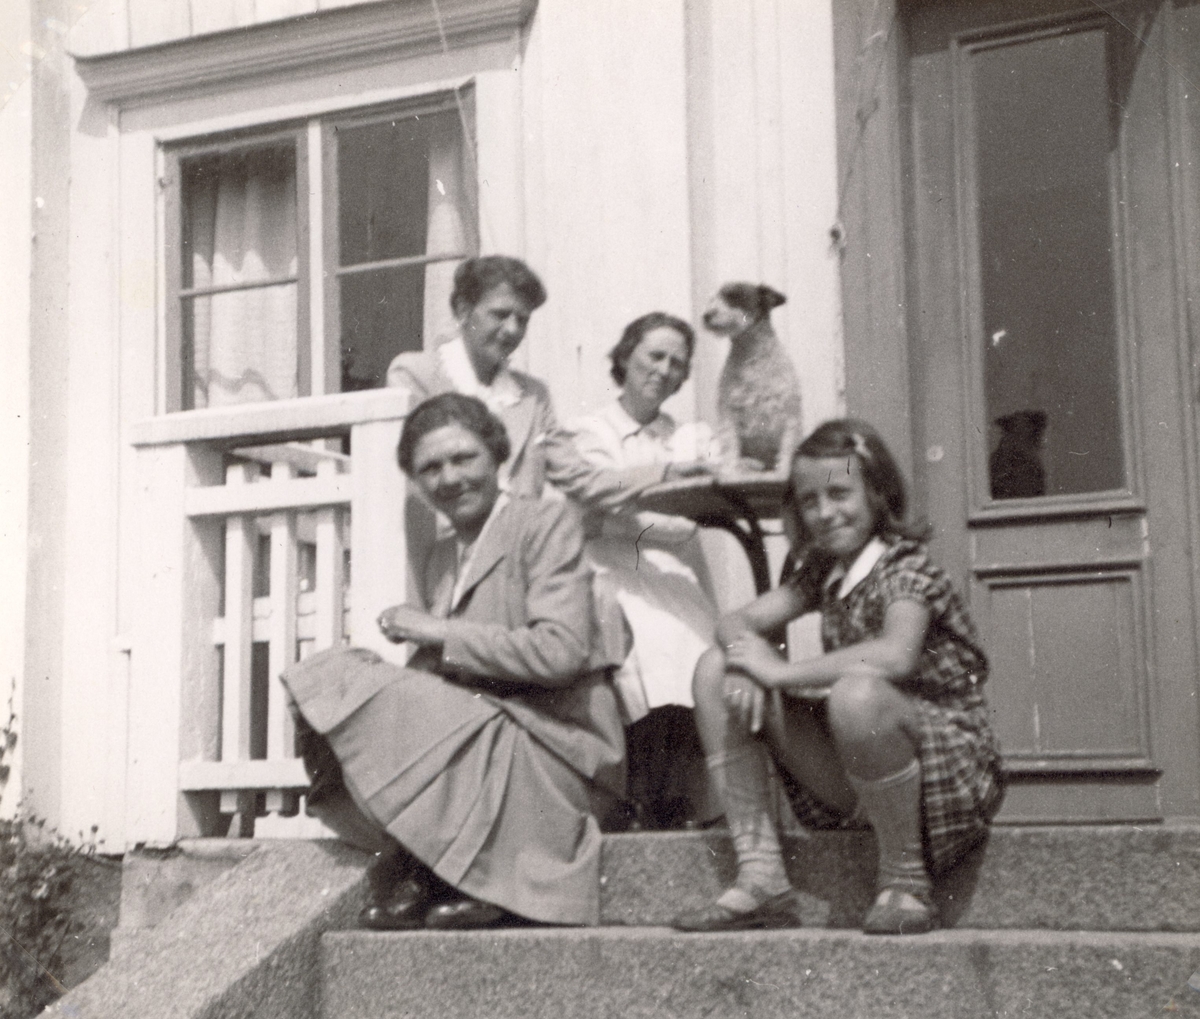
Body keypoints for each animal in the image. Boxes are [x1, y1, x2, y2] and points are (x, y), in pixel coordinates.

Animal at [703, 282, 802, 475]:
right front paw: (731, 473)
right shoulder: (729, 414)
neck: (751, 357)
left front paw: (783, 471)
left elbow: (786, 450)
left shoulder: (789, 415)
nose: (706, 316)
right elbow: (730, 448)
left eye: (735, 296)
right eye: (712, 299)